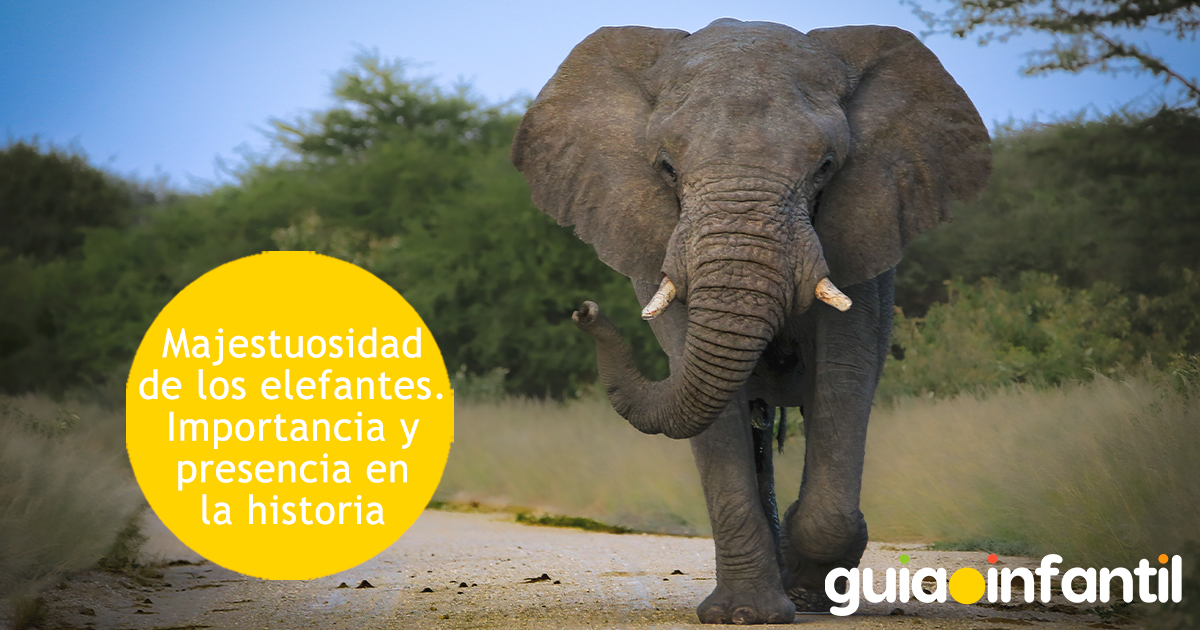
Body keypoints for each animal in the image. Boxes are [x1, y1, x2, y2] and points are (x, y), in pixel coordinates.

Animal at [510, 18, 990, 624]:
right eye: (666, 167)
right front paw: (744, 615)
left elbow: (845, 376)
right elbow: (707, 402)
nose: (584, 310)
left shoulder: (866, 228)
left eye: (825, 167)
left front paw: (807, 590)